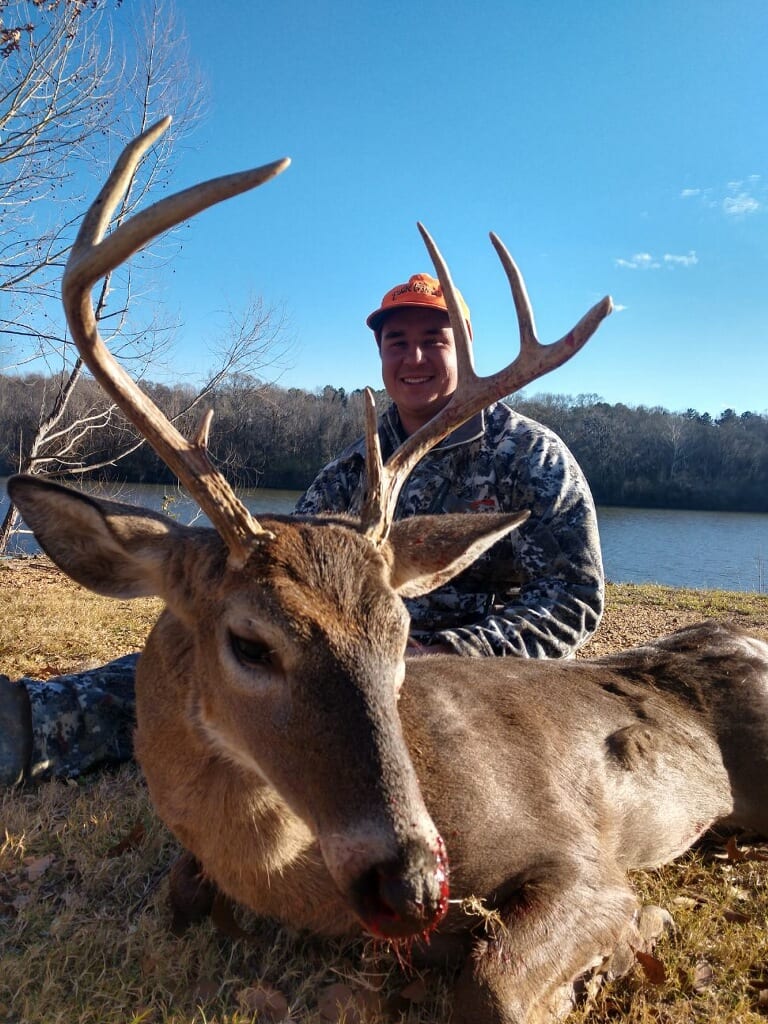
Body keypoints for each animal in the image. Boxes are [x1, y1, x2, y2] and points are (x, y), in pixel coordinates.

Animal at [8, 116, 768, 1024]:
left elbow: (493, 980)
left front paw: (636, 935)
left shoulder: (580, 854)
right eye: (251, 643)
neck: (294, 884)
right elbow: (177, 893)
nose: (409, 888)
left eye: (402, 633)